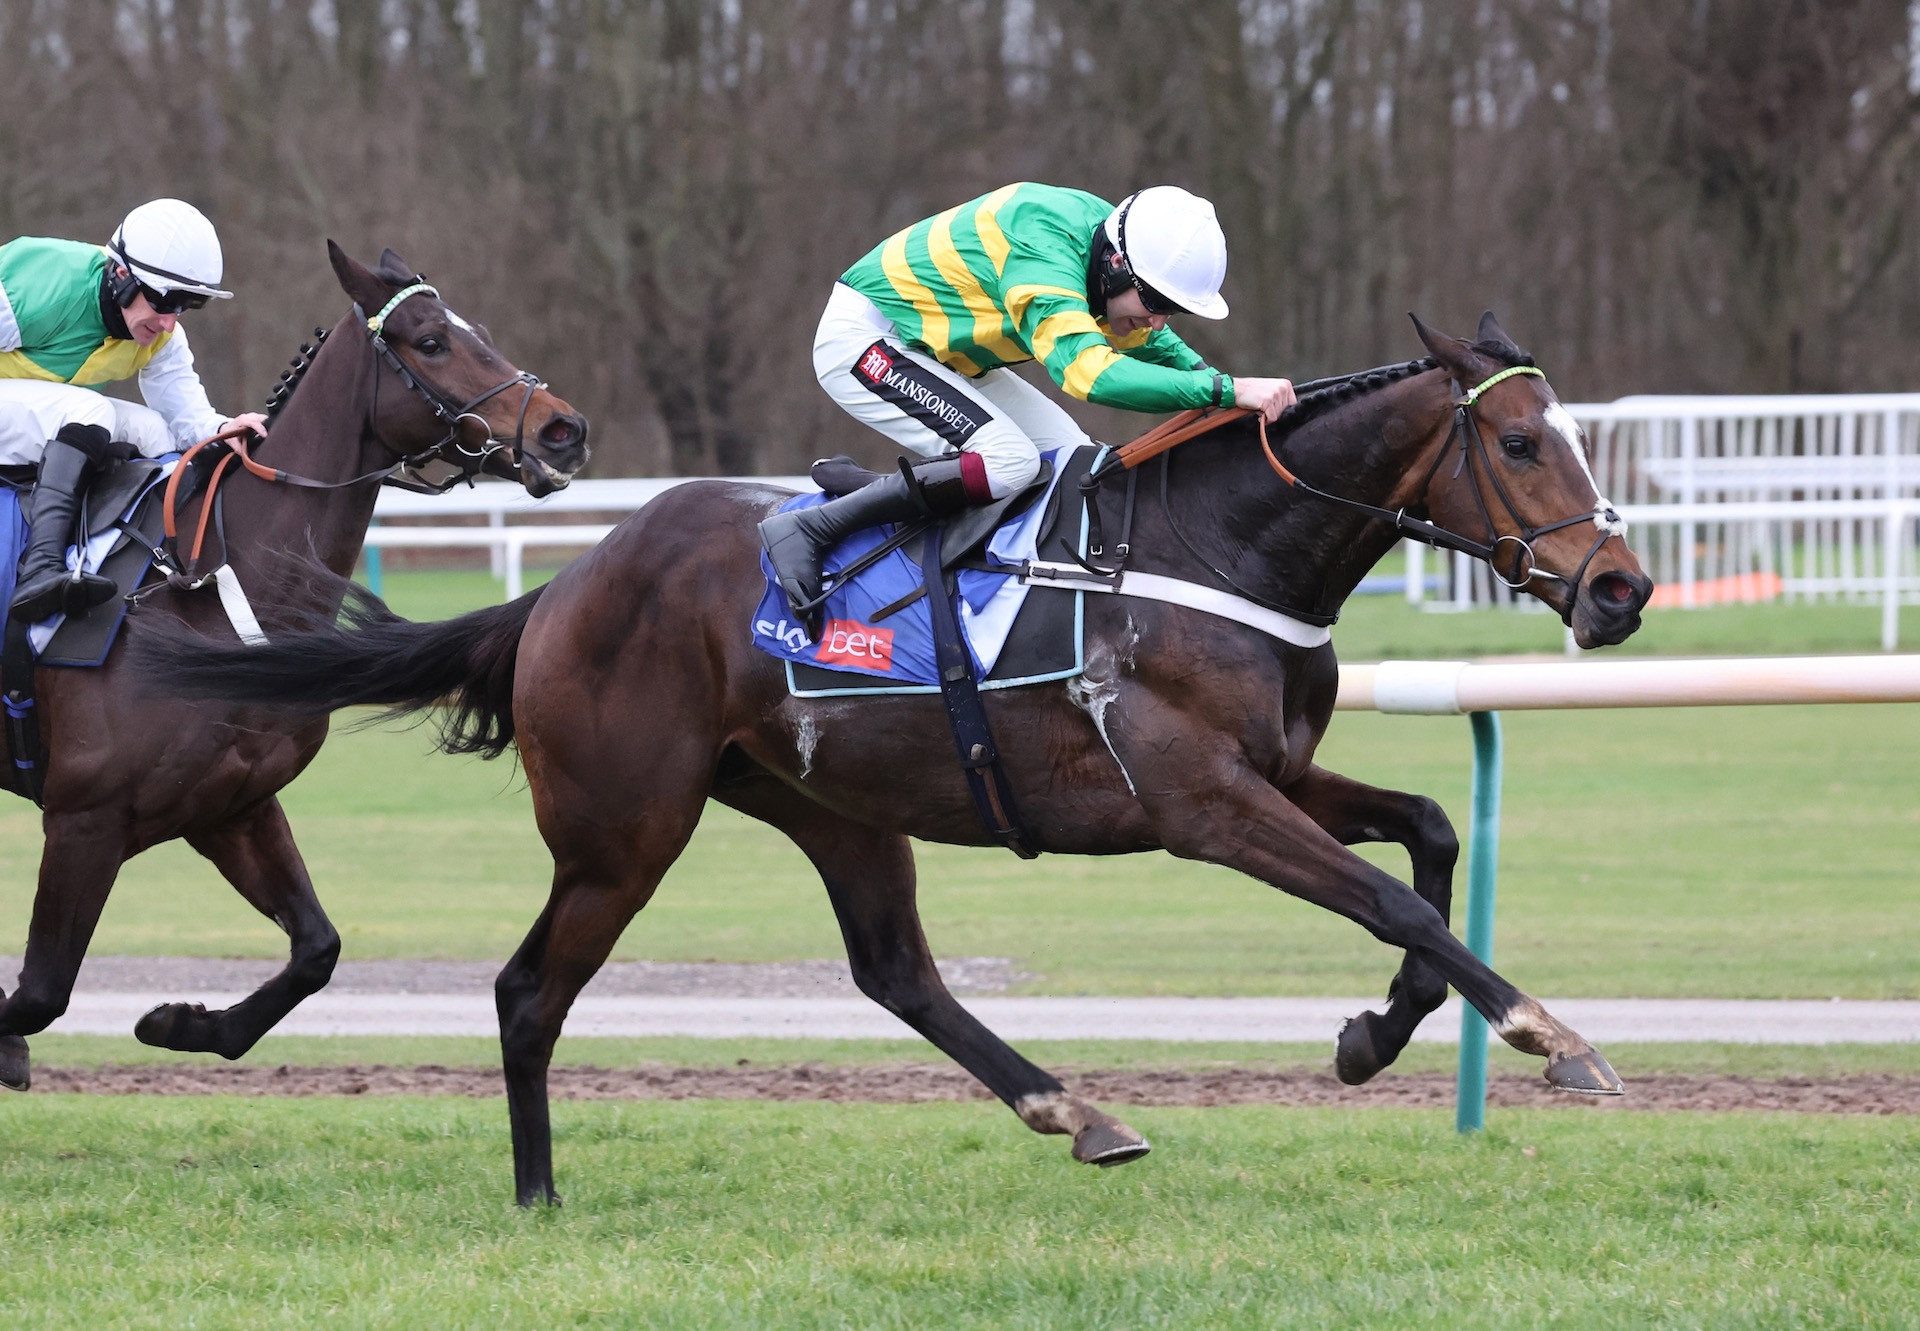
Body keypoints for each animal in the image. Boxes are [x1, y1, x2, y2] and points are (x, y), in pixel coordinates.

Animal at [0, 239, 587, 1090]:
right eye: (431, 341)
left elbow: (317, 948)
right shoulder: (85, 818)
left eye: (476, 329)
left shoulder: (229, 805)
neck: (199, 584)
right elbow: (41, 990)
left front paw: (181, 1021)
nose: (564, 429)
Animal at [145, 314, 1651, 1206]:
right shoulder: (1201, 801)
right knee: (527, 990)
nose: (1623, 589)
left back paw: (1074, 1107)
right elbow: (1389, 892)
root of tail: (566, 586)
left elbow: (1430, 831)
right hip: (627, 826)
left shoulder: (1272, 773)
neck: (1210, 548)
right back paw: (537, 1192)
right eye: (1524, 440)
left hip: (834, 801)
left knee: (896, 971)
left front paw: (1370, 1033)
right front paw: (1556, 1035)